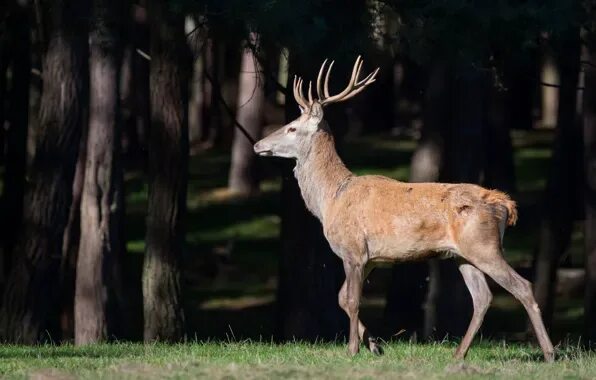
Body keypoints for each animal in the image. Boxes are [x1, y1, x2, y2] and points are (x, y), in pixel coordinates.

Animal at [254, 55, 556, 362]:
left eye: (292, 127)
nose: (257, 144)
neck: (330, 200)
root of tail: (504, 203)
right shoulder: (372, 258)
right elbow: (341, 298)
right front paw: (375, 345)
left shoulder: (353, 249)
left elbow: (351, 299)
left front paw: (352, 349)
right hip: (463, 255)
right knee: (483, 297)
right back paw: (458, 354)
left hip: (485, 246)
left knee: (522, 286)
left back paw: (549, 352)